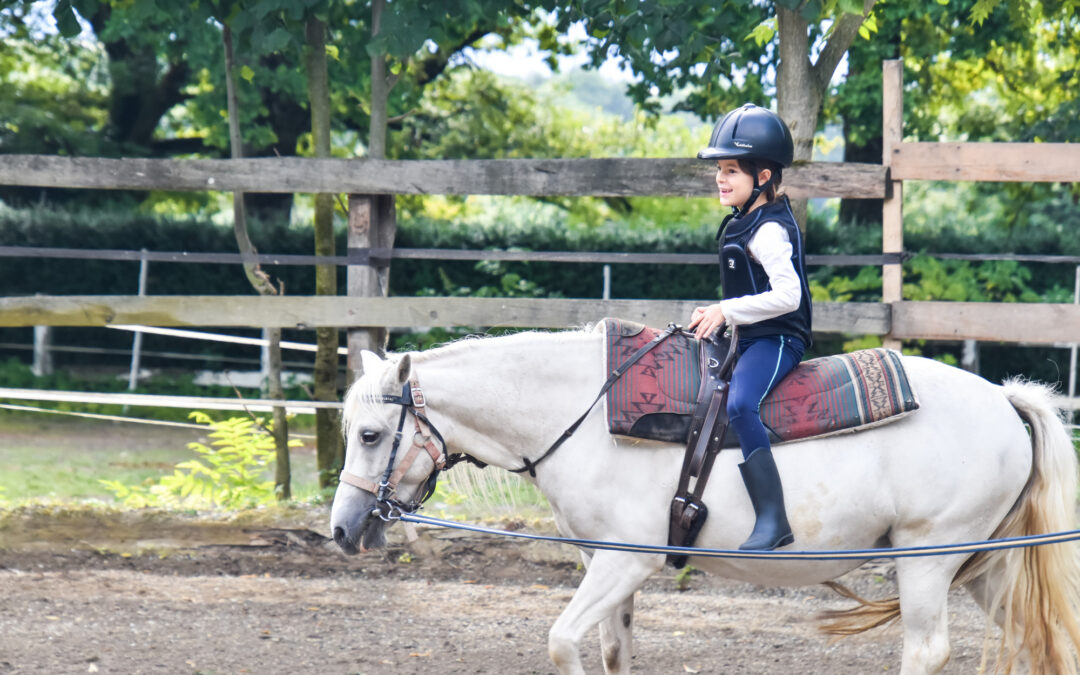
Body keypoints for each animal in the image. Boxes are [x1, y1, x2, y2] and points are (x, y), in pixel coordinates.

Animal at [326, 326, 1080, 673]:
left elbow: (563, 640)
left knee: (926, 650)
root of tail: (1006, 400)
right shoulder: (605, 567)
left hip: (928, 559)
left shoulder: (626, 562)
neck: (583, 414)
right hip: (987, 566)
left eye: (370, 434)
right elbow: (613, 650)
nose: (341, 529)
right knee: (1038, 636)